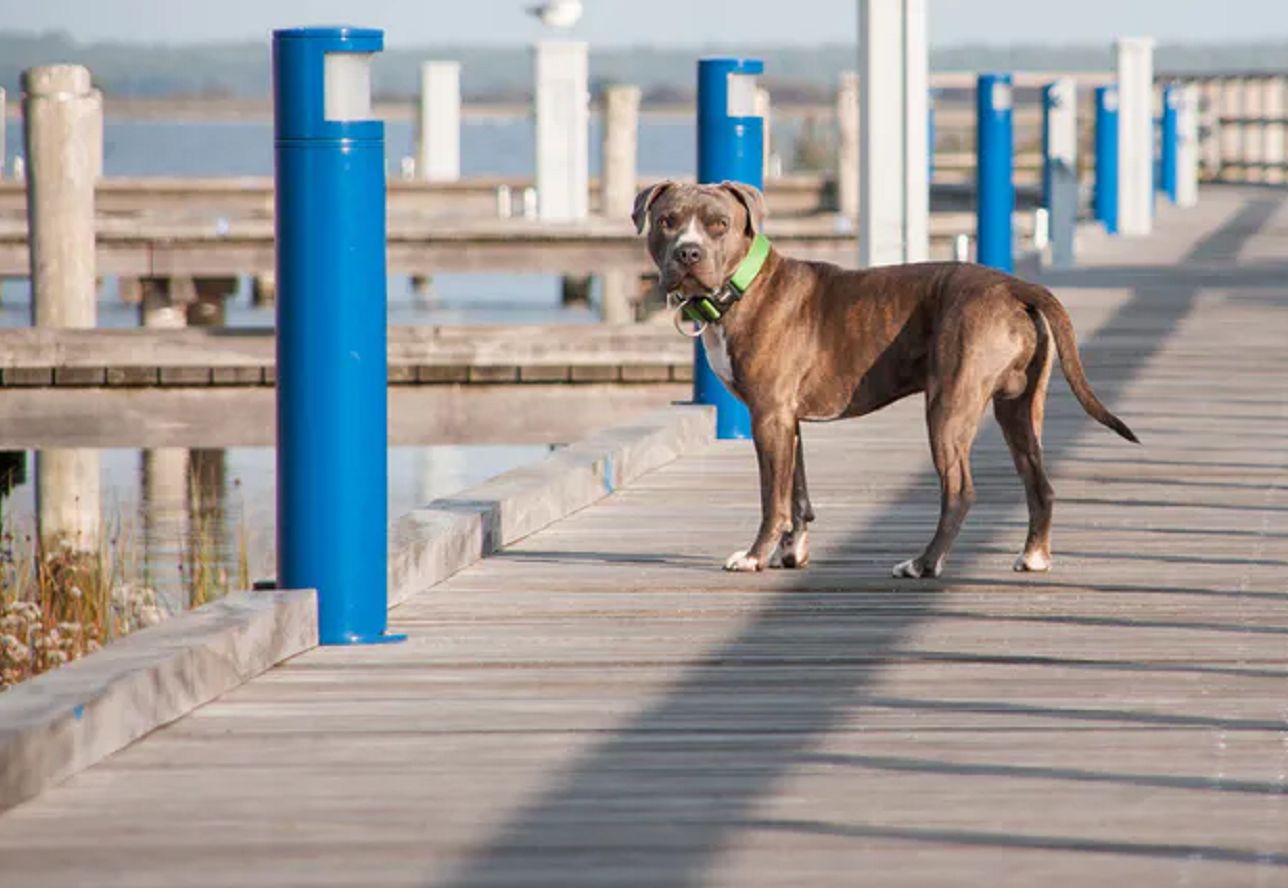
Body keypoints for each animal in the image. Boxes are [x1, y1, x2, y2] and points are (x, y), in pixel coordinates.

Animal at [633, 181, 1138, 582]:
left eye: (719, 223)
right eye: (667, 221)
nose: (688, 252)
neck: (742, 285)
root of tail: (1013, 286)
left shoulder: (769, 416)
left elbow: (771, 497)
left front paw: (755, 556)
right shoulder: (786, 421)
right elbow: (797, 492)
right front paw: (791, 552)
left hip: (948, 407)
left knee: (959, 491)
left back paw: (924, 563)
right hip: (1018, 408)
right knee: (1039, 483)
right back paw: (1033, 557)